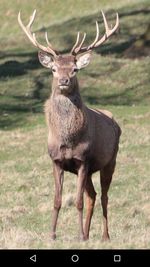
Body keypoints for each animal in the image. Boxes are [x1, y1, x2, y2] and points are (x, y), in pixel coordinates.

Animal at [17, 9, 120, 242]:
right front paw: (52, 235)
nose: (64, 80)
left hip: (110, 161)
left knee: (104, 196)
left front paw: (79, 235)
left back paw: (104, 236)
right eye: (54, 69)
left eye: (74, 69)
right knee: (93, 195)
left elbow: (78, 202)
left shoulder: (83, 160)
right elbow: (58, 200)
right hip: (91, 170)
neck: (67, 139)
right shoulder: (56, 160)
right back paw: (88, 234)